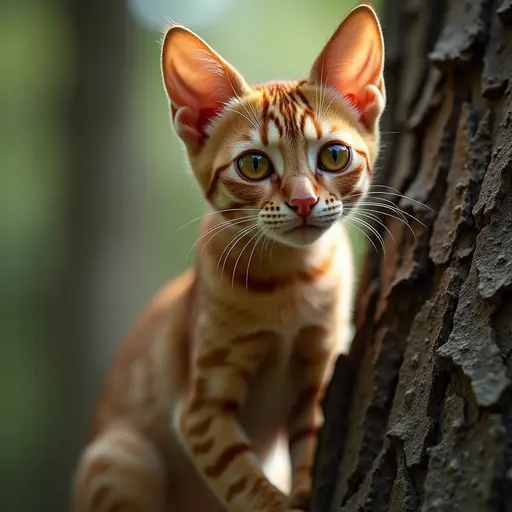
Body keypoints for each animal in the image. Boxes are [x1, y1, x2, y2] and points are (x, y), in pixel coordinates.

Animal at [72, 5, 384, 512]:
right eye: (254, 165)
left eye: (334, 156)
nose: (302, 202)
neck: (291, 281)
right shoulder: (200, 410)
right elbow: (244, 482)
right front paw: (277, 503)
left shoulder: (315, 379)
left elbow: (307, 454)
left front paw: (303, 493)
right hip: (119, 455)